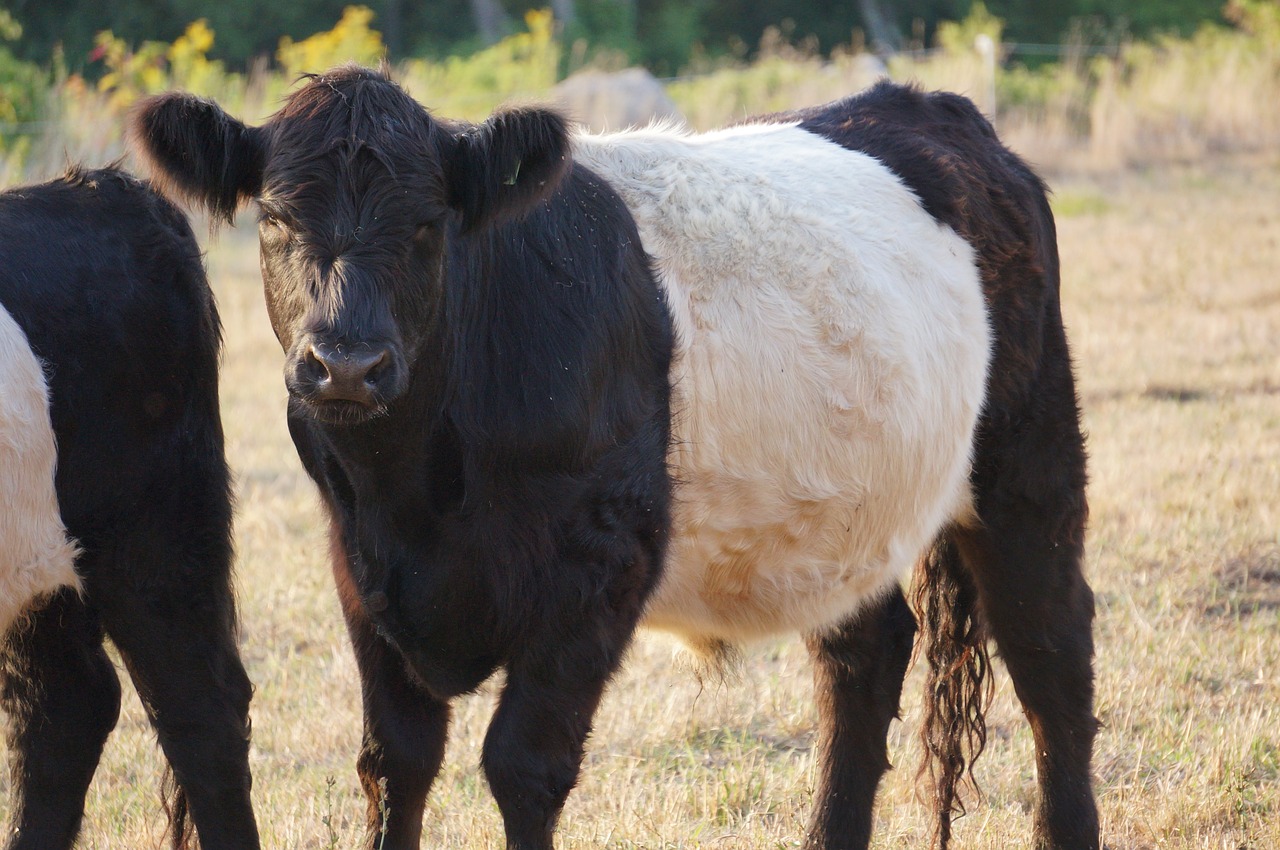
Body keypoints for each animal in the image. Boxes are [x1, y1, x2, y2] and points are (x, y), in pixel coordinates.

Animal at [132, 68, 1100, 850]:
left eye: (426, 226)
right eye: (275, 218)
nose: (346, 363)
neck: (418, 489)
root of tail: (938, 110)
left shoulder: (598, 566)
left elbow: (523, 766)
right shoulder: (361, 564)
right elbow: (396, 761)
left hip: (1029, 458)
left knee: (1051, 653)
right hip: (845, 513)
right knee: (863, 659)